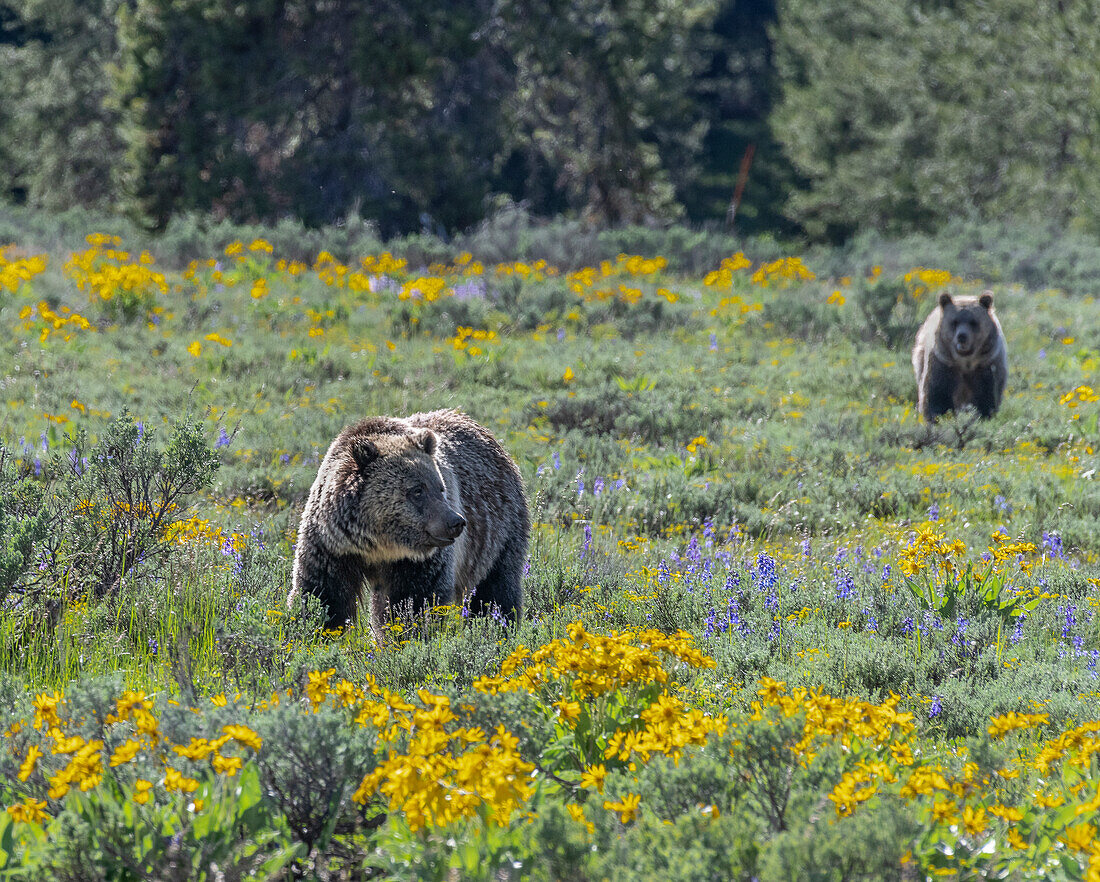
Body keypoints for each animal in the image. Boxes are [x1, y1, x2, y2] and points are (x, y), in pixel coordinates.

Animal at [290, 409, 530, 637]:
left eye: (440, 488)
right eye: (417, 490)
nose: (456, 522)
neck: (379, 544)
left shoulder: (418, 561)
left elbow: (415, 602)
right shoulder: (332, 546)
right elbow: (322, 594)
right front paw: (317, 630)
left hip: (498, 530)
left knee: (495, 587)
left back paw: (498, 626)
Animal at [910, 290, 1007, 420]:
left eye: (973, 322)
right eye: (954, 322)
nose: (962, 336)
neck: (965, 361)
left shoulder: (988, 362)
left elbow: (988, 391)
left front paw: (984, 414)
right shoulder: (943, 362)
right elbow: (936, 391)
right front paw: (936, 416)